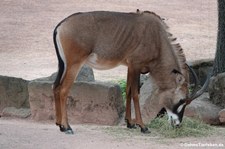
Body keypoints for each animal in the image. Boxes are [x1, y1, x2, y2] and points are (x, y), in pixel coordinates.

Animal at [53, 10, 209, 134]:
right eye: (182, 100)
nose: (177, 124)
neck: (157, 37)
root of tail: (61, 25)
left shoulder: (130, 66)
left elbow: (128, 91)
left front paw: (130, 123)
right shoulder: (136, 66)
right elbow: (135, 94)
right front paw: (143, 126)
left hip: (63, 65)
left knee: (56, 87)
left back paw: (59, 125)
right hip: (74, 64)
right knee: (64, 90)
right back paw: (67, 127)